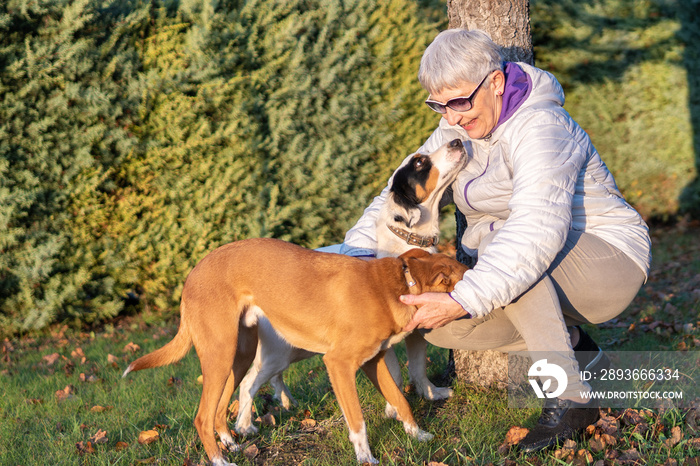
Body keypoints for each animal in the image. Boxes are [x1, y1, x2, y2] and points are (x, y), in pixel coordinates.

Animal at [123, 238, 468, 464]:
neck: (391, 287)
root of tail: (192, 275)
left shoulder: (374, 361)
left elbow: (400, 400)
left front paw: (418, 435)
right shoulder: (339, 364)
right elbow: (357, 421)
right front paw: (366, 458)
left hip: (238, 354)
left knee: (221, 407)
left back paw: (230, 444)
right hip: (221, 354)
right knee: (202, 416)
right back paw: (220, 460)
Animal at [232, 138, 468, 434]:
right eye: (419, 162)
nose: (457, 140)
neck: (406, 241)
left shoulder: (415, 330)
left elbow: (417, 367)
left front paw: (430, 393)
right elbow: (395, 375)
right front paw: (394, 409)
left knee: (272, 378)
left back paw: (286, 402)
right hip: (281, 350)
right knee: (249, 381)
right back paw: (244, 425)